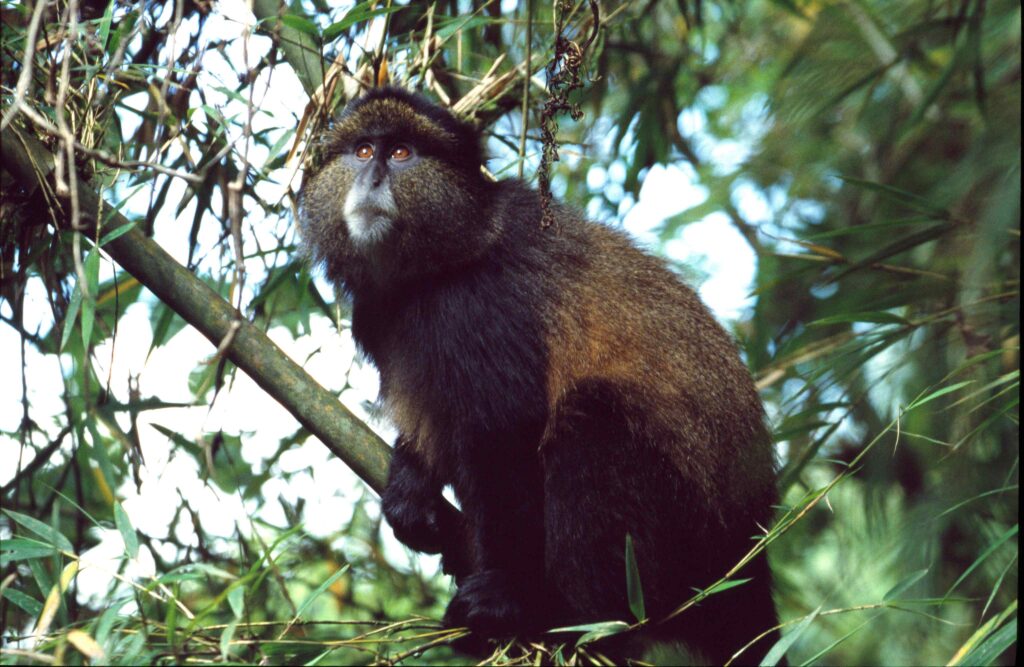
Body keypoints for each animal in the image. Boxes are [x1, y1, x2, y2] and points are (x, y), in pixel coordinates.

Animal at [298, 86, 780, 664]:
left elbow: (505, 442)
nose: (372, 179)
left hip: (686, 535)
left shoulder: (477, 311)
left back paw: (568, 616)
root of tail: (750, 545)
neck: (439, 260)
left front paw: (510, 595)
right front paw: (410, 485)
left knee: (592, 418)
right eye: (364, 151)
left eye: (401, 154)